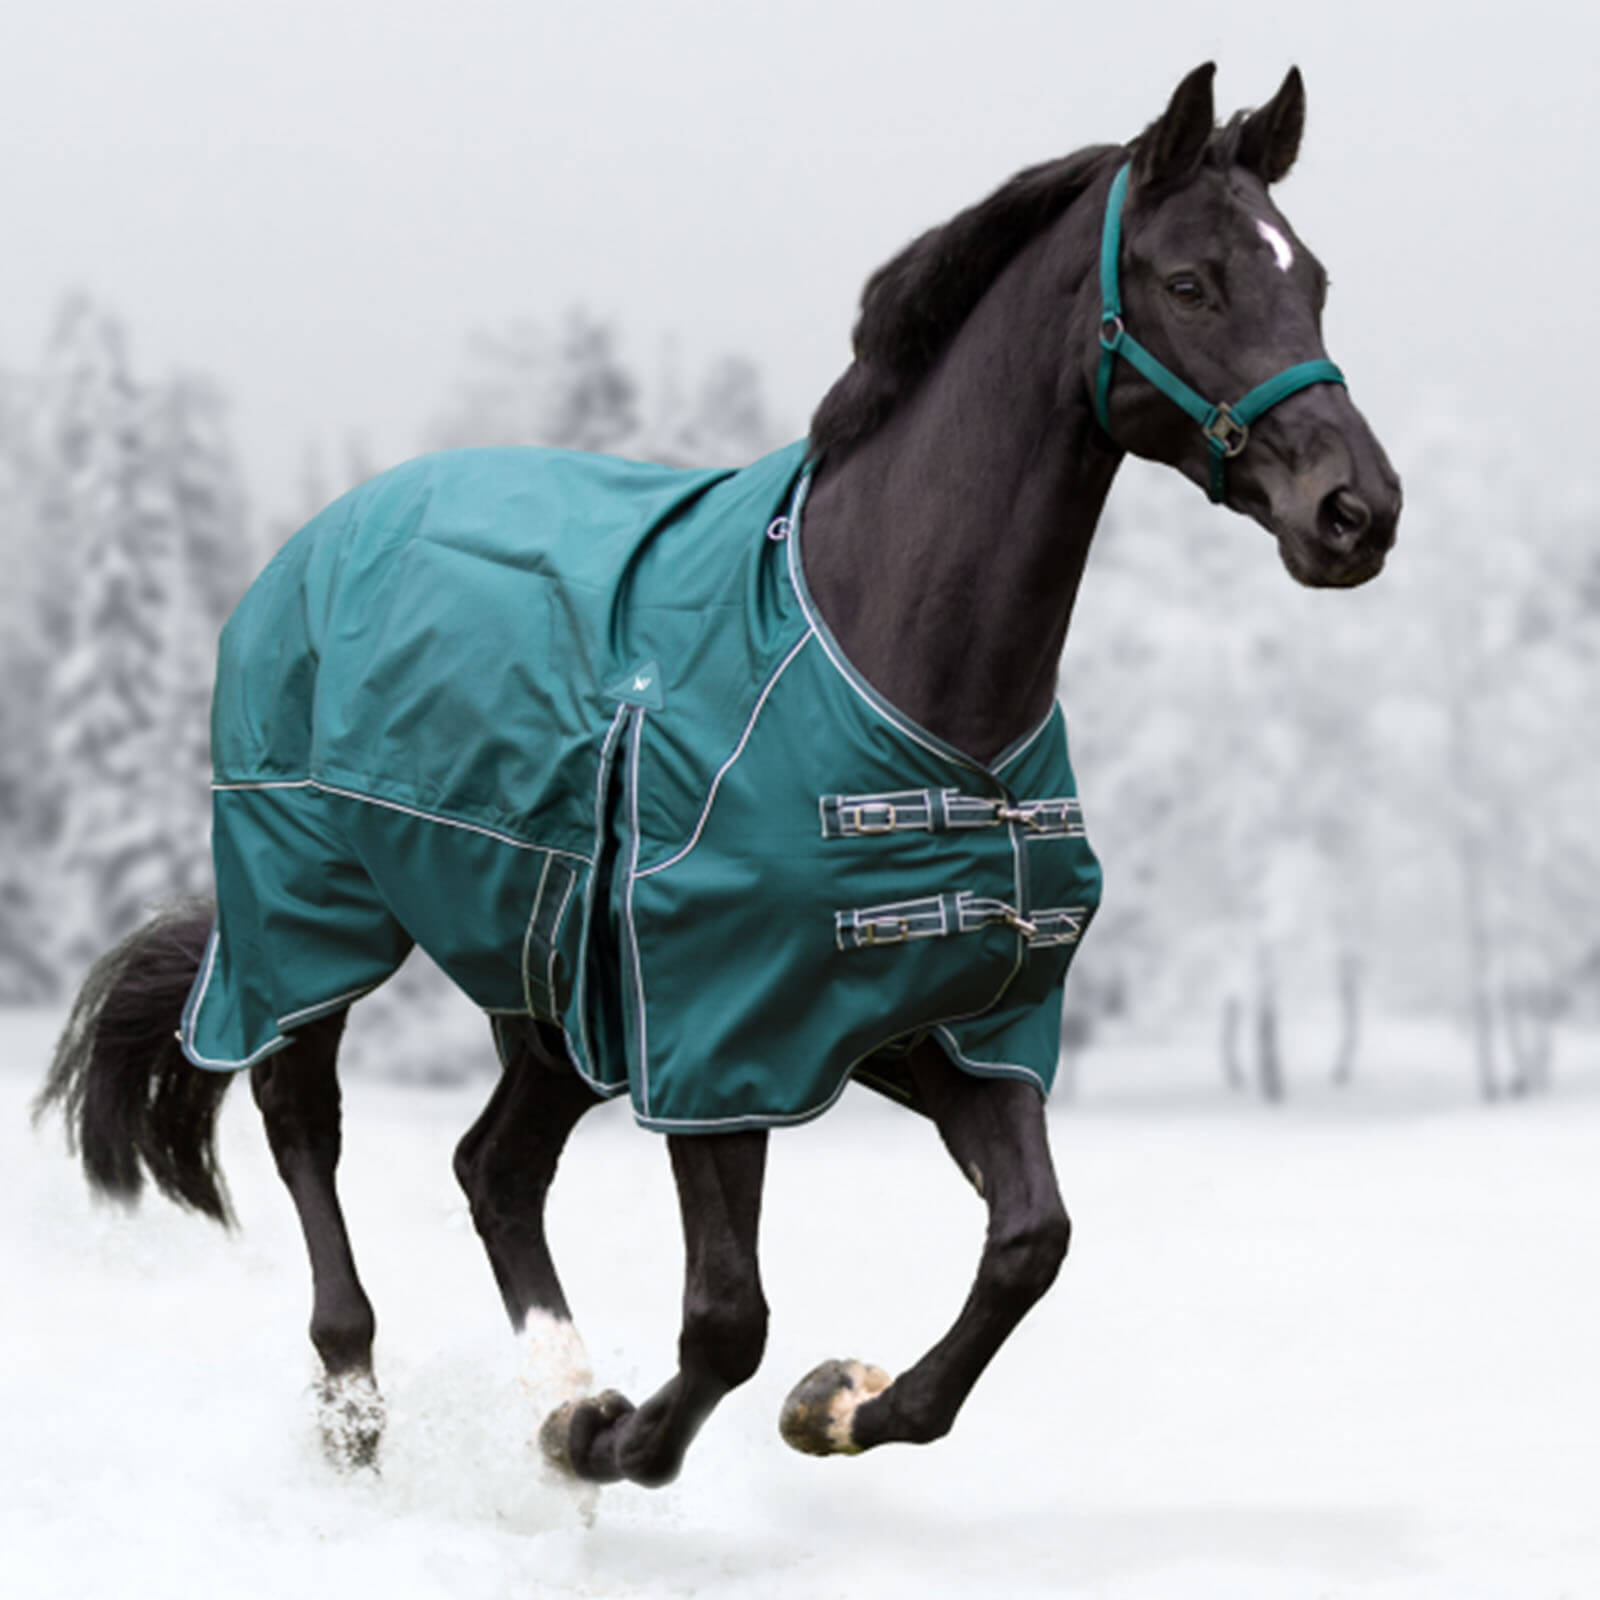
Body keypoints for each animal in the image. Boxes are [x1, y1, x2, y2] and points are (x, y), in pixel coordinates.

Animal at [35, 63, 1401, 1490]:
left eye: (1312, 279)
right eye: (1190, 281)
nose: (1357, 511)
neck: (893, 658)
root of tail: (313, 542)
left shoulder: (945, 1022)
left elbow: (1029, 1243)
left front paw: (831, 1404)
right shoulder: (716, 1032)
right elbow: (728, 1319)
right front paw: (621, 1436)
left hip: (546, 987)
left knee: (495, 1168)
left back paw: (555, 1387)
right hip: (311, 909)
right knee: (303, 1117)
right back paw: (361, 1405)